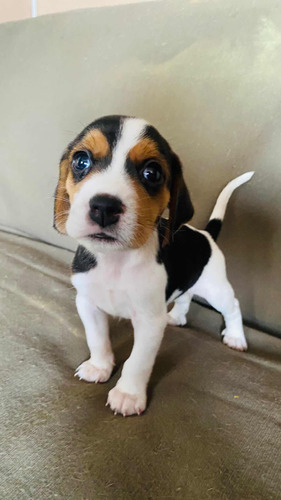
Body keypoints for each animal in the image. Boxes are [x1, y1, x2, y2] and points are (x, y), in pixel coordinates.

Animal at [53, 115, 253, 416]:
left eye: (152, 173)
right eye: (81, 161)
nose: (104, 207)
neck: (116, 259)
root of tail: (205, 235)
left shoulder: (149, 322)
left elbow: (137, 362)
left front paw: (128, 394)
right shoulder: (87, 303)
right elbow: (97, 339)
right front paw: (99, 366)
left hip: (216, 289)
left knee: (234, 307)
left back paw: (236, 337)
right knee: (185, 296)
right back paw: (178, 317)